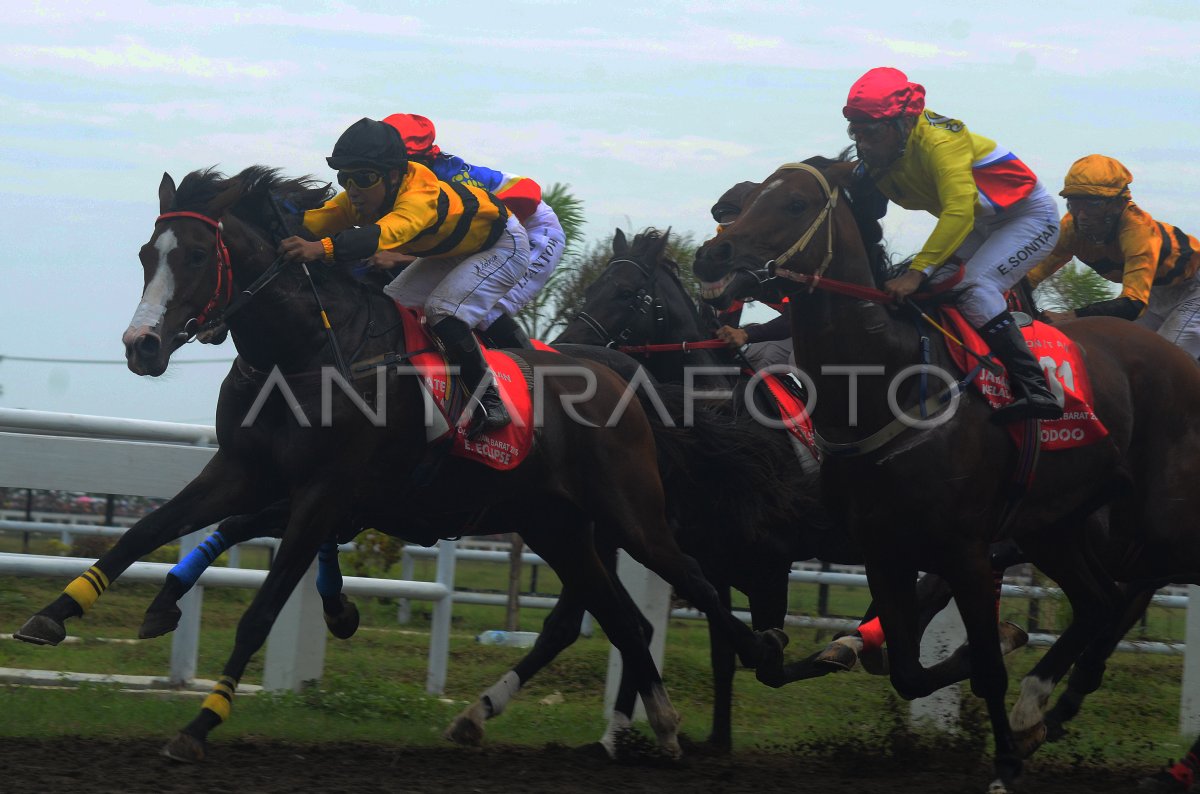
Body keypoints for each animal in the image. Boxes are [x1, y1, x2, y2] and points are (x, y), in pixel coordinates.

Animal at [696, 157, 1200, 794]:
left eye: (793, 204)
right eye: (749, 197)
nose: (713, 254)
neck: (885, 384)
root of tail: (1180, 361)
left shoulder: (965, 550)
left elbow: (981, 662)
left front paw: (1004, 760)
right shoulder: (883, 547)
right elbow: (907, 669)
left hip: (1162, 526)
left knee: (1121, 595)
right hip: (1055, 527)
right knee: (1100, 602)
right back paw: (1037, 710)